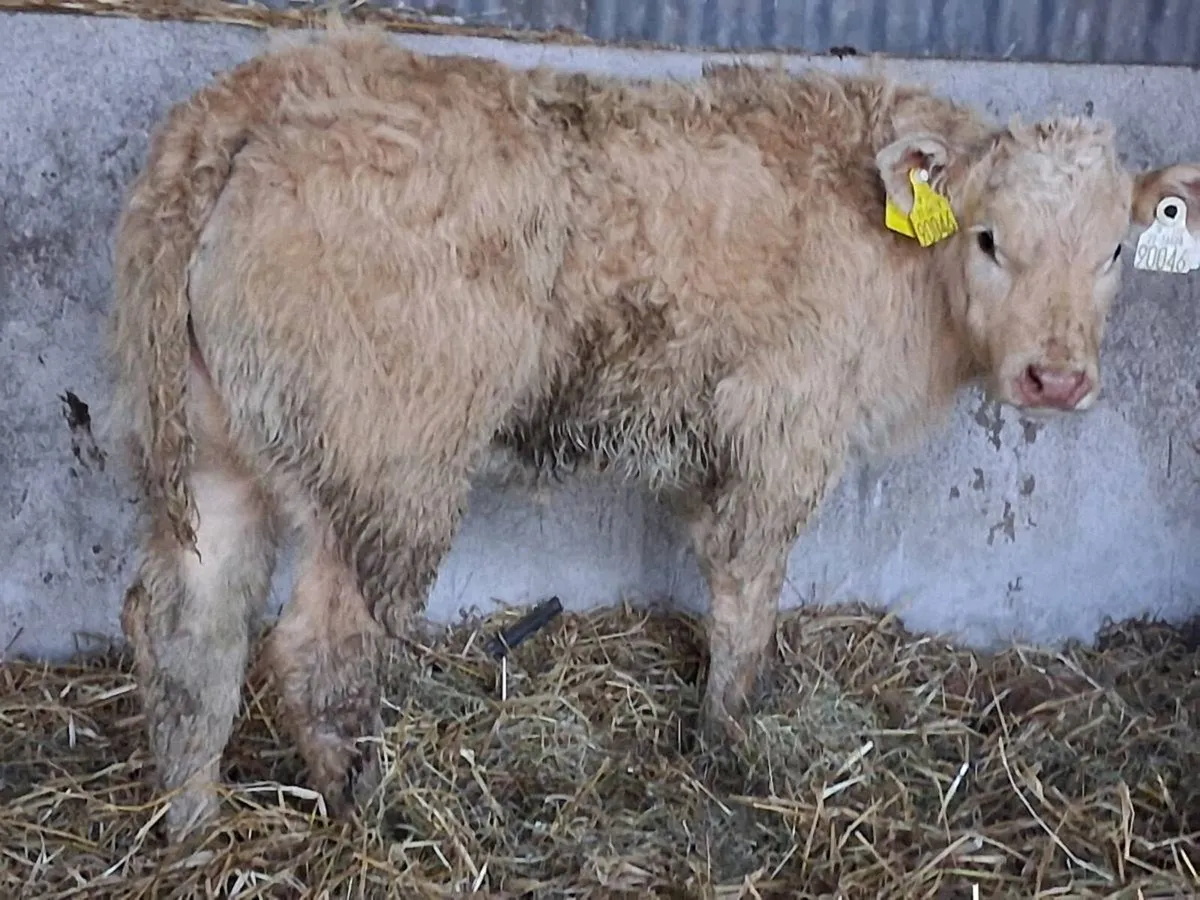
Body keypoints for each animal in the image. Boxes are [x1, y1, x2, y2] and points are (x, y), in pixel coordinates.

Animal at [108, 26, 1200, 841]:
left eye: (1114, 250)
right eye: (989, 239)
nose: (1056, 377)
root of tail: (256, 96)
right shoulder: (784, 425)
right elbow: (748, 586)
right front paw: (728, 740)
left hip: (210, 448)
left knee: (187, 632)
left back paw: (194, 826)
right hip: (386, 460)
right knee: (320, 649)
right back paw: (370, 817)